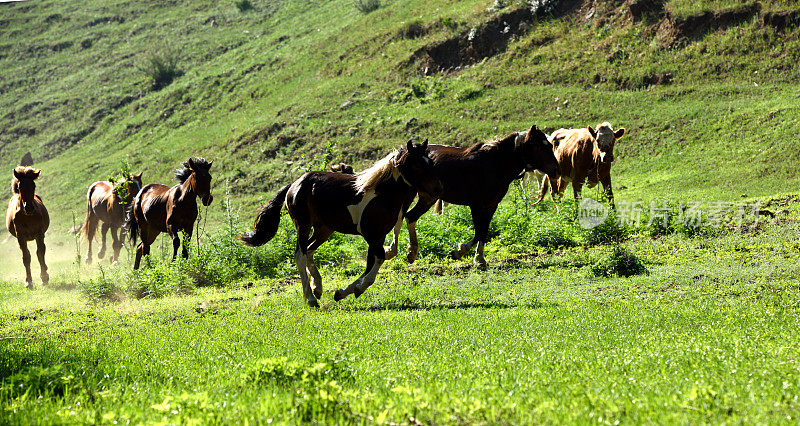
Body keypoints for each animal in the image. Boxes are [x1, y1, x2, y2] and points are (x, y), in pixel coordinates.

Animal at [241, 141, 440, 308]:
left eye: (430, 162)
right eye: (417, 164)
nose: (436, 190)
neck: (382, 194)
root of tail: (294, 185)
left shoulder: (379, 235)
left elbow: (372, 264)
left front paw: (344, 292)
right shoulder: (371, 235)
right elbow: (378, 261)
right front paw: (355, 290)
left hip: (324, 229)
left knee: (310, 250)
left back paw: (317, 288)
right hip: (303, 225)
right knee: (300, 254)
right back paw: (311, 298)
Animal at [384, 125, 560, 268]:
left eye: (550, 145)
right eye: (539, 146)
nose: (556, 170)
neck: (496, 164)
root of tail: (404, 152)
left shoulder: (492, 205)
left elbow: (484, 231)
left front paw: (479, 258)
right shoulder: (476, 205)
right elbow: (478, 231)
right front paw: (460, 251)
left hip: (424, 196)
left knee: (405, 217)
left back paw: (399, 251)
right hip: (416, 195)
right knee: (405, 217)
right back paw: (404, 251)